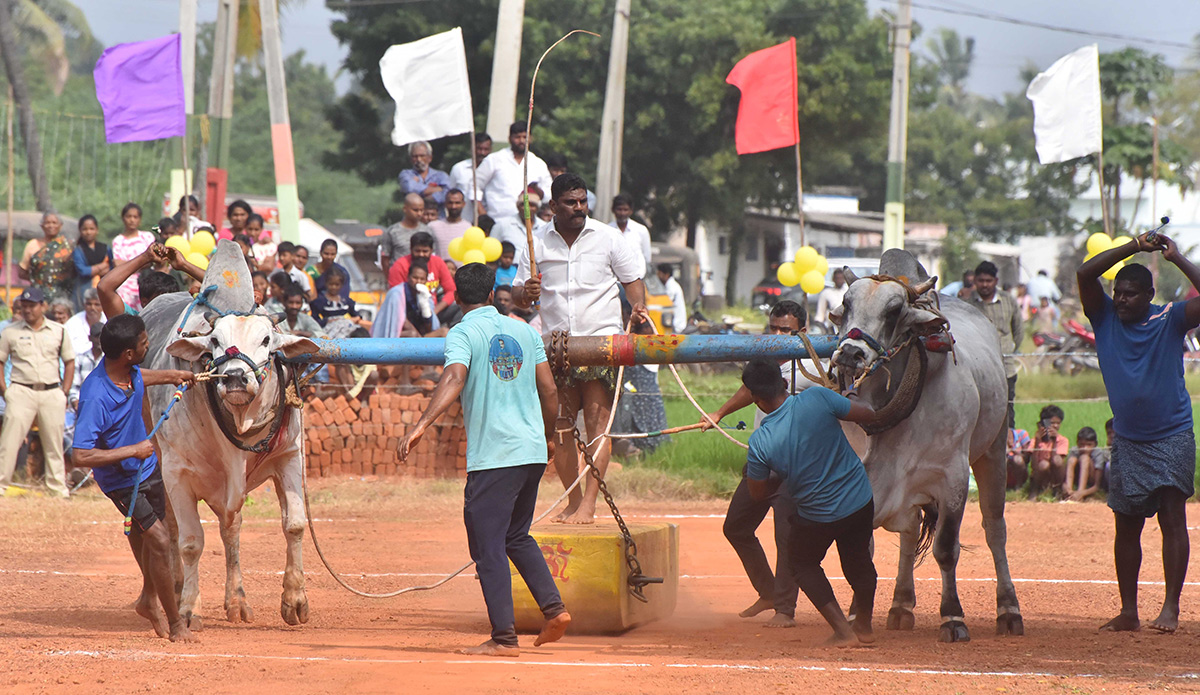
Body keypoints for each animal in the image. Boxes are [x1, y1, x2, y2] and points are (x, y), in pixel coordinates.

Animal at [138, 244, 316, 628]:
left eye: (267, 340)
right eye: (216, 341)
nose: (235, 377)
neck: (239, 421)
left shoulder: (289, 457)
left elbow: (294, 525)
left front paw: (294, 600)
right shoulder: (176, 473)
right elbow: (191, 542)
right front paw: (189, 608)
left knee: (230, 529)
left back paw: (236, 601)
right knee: (172, 530)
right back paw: (173, 591)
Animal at [835, 248, 1022, 643]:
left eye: (894, 311)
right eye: (845, 304)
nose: (850, 354)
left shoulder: (952, 479)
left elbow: (946, 549)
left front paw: (952, 617)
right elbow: (863, 549)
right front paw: (858, 613)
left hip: (993, 451)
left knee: (995, 531)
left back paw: (1009, 610)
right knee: (908, 536)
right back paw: (901, 605)